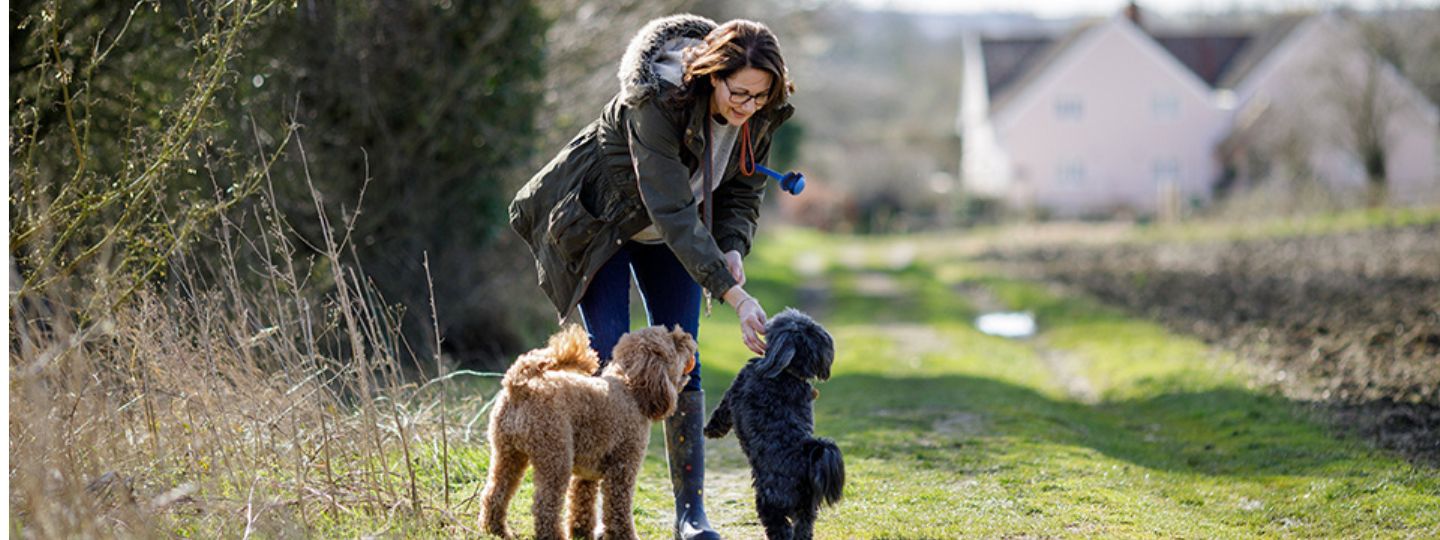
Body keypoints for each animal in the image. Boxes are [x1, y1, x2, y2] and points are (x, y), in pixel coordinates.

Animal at [478, 325, 696, 540]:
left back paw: (496, 530)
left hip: (507, 454)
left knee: (495, 493)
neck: (630, 388)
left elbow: (582, 503)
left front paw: (581, 532)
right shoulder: (622, 468)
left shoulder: (586, 473)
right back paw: (552, 535)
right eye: (673, 343)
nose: (688, 337)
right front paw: (625, 535)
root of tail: (520, 384)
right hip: (555, 458)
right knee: (544, 505)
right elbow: (619, 509)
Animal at [705, 308, 840, 540]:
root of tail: (807, 460)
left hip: (768, 499)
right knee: (803, 527)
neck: (787, 374)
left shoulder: (734, 391)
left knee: (779, 526)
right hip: (806, 508)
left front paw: (709, 430)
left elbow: (720, 413)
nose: (768, 318)